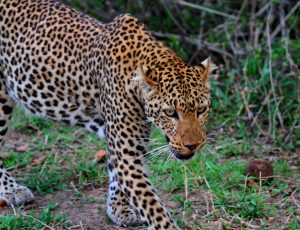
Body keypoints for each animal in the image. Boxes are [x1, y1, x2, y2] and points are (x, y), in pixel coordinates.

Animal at [0, 0, 212, 229]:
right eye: (170, 113)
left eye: (201, 110)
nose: (193, 145)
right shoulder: (125, 151)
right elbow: (152, 207)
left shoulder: (130, 145)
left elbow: (116, 174)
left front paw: (118, 208)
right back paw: (12, 190)